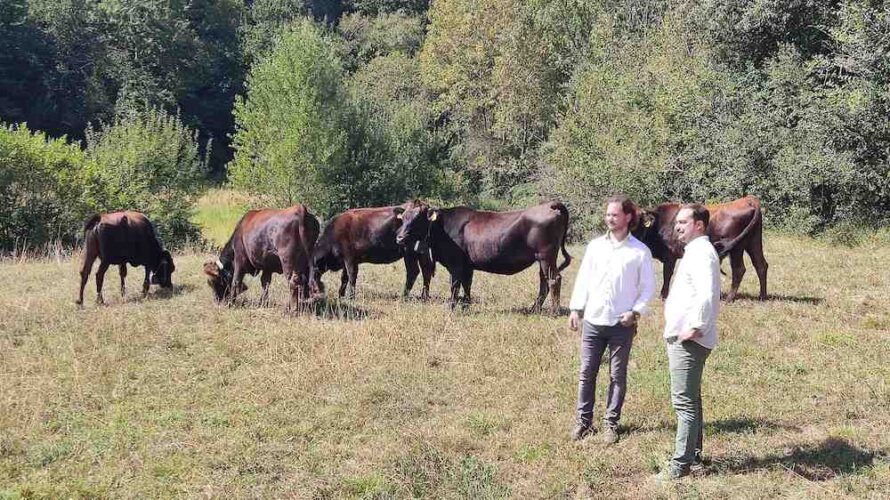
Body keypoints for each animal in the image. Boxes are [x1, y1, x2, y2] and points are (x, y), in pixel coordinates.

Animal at [394, 200, 568, 312]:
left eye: (418, 218)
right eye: (404, 217)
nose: (399, 238)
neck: (442, 228)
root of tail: (550, 205)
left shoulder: (455, 263)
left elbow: (454, 284)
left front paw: (452, 306)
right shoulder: (467, 265)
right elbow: (467, 284)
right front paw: (466, 304)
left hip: (546, 256)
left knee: (554, 279)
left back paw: (554, 311)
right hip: (543, 259)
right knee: (544, 281)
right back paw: (534, 308)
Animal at [636, 195, 768, 300]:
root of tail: (748, 199)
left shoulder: (670, 255)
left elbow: (667, 274)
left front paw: (663, 296)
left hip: (737, 248)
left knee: (739, 269)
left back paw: (730, 298)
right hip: (753, 242)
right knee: (761, 265)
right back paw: (762, 296)